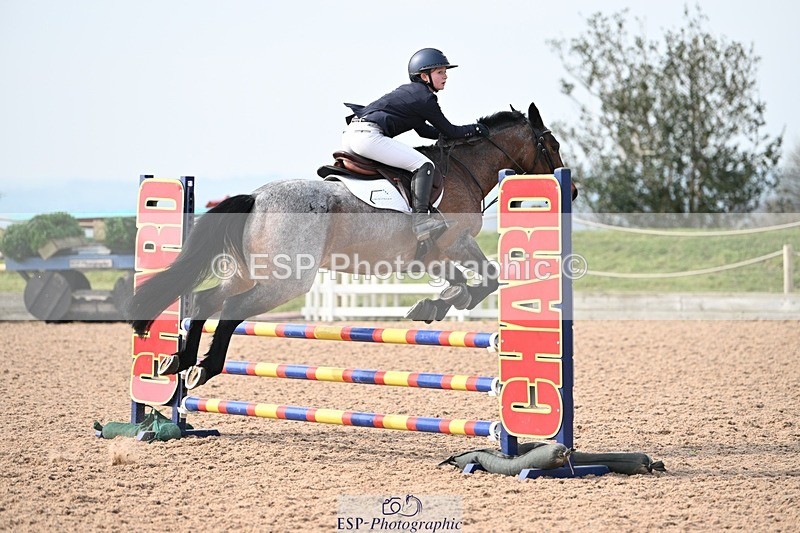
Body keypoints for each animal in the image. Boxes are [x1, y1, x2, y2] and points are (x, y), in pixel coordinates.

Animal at [128, 102, 566, 389]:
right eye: (552, 145)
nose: (572, 190)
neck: (464, 171)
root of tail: (256, 197)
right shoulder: (456, 242)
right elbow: (488, 279)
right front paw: (452, 301)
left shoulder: (435, 255)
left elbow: (461, 282)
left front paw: (434, 305)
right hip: (288, 281)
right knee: (232, 309)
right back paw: (206, 367)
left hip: (249, 272)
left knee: (206, 300)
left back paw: (181, 361)